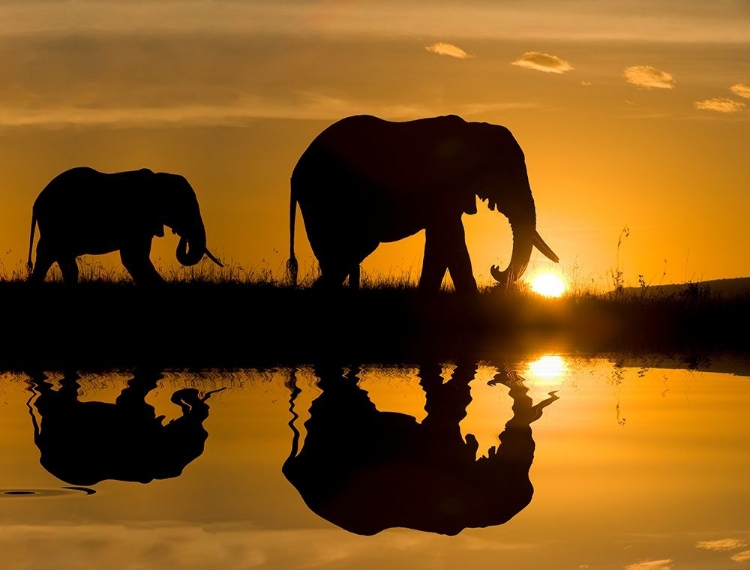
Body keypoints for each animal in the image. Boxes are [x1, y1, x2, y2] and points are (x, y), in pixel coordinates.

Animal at [27, 165, 226, 282]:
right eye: (181, 207)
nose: (181, 233)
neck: (157, 179)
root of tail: (37, 201)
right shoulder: (138, 220)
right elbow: (134, 258)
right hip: (56, 224)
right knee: (51, 255)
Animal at [286, 115, 560, 292]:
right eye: (504, 176)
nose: (496, 268)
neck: (473, 130)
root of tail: (295, 173)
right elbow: (449, 239)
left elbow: (445, 241)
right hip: (324, 197)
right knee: (346, 252)